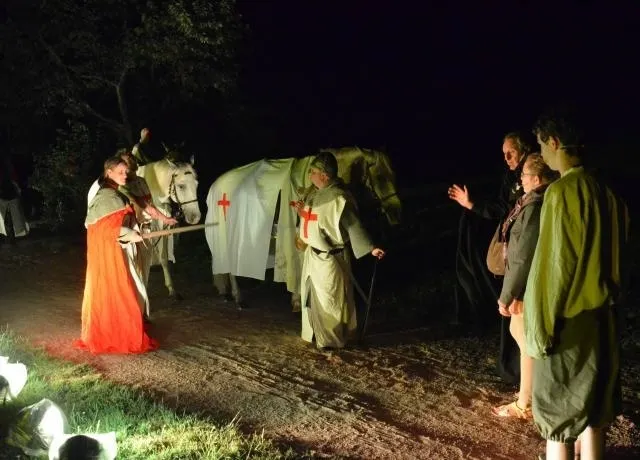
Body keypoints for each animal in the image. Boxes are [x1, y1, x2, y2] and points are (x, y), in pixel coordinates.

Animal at [203, 146, 402, 309]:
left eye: (394, 174)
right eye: (380, 176)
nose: (396, 214)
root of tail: (216, 184)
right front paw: (298, 300)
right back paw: (238, 297)